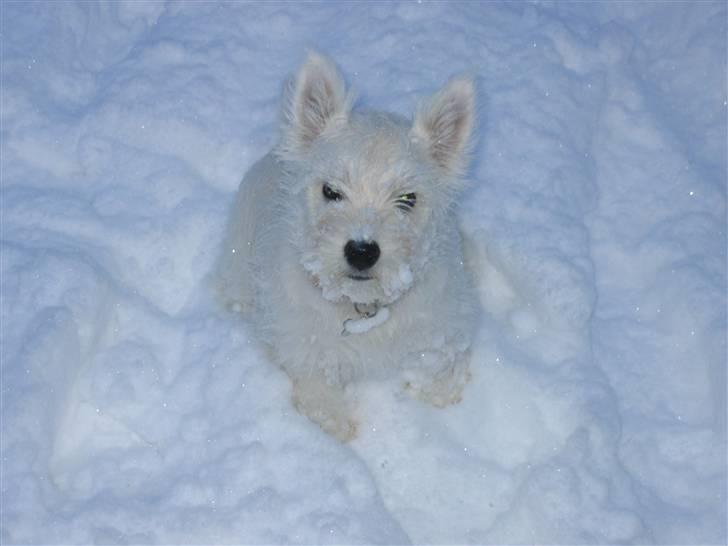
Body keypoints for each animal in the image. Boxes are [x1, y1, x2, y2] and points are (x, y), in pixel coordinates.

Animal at [216, 53, 478, 440]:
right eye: (331, 191)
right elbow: (320, 396)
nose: (362, 251)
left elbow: (437, 374)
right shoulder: (307, 352)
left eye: (407, 199)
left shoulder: (439, 335)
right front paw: (337, 429)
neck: (362, 308)